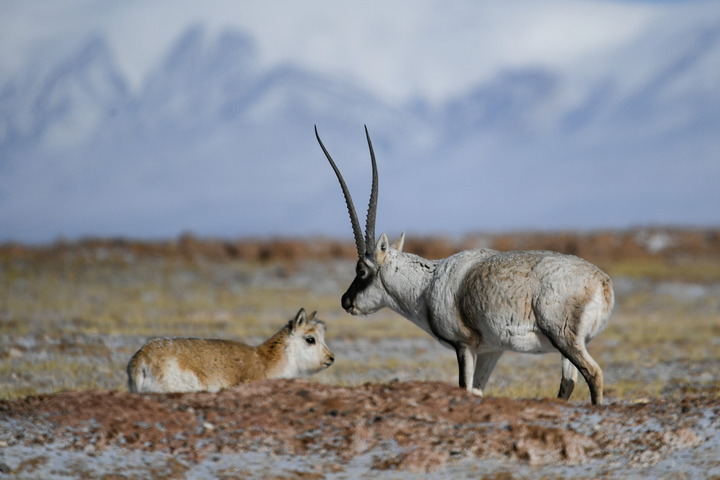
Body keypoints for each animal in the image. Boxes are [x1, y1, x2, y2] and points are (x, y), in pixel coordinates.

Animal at [316, 125, 612, 404]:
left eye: (361, 270)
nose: (345, 301)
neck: (427, 284)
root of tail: (602, 284)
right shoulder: (492, 350)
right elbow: (478, 391)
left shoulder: (464, 345)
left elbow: (464, 388)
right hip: (566, 348)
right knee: (568, 382)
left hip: (565, 340)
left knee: (594, 373)